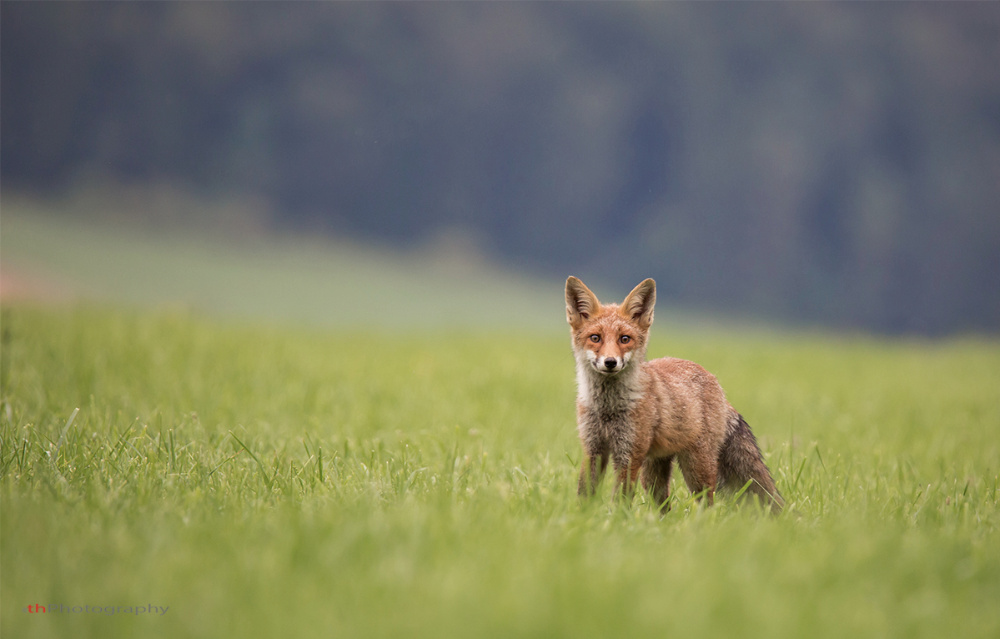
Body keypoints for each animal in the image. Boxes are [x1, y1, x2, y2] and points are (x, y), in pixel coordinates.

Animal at [564, 278, 780, 512]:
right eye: (595, 338)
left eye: (624, 339)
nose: (610, 362)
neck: (608, 409)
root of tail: (716, 384)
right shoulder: (593, 448)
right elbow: (584, 492)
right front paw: (582, 515)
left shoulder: (628, 454)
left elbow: (620, 498)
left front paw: (616, 518)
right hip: (653, 473)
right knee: (665, 508)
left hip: (696, 469)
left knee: (707, 503)